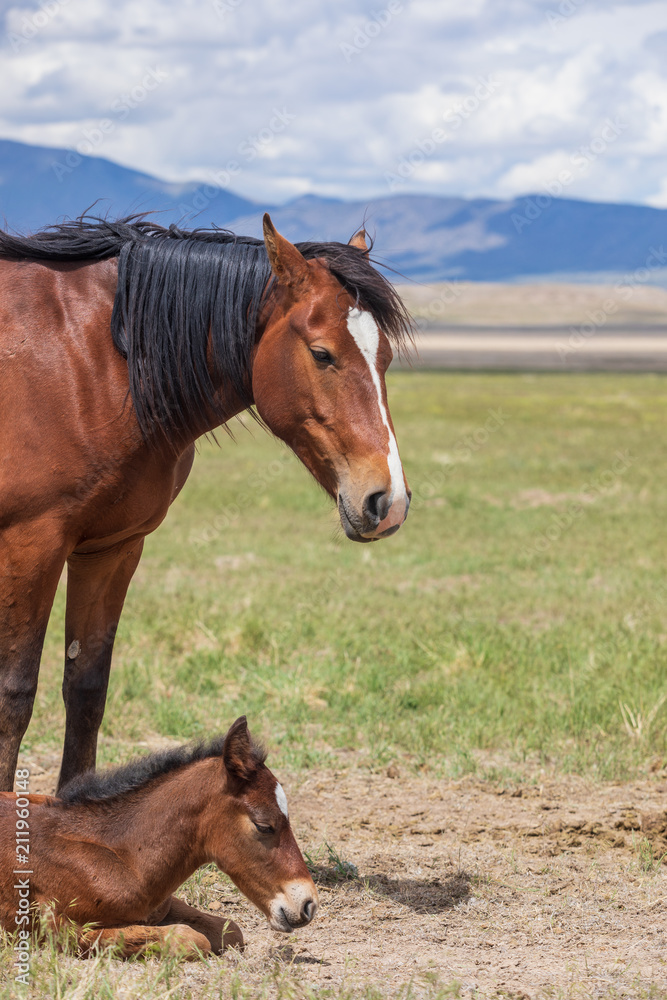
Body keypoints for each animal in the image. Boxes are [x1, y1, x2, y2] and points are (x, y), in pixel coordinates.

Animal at [0, 215, 412, 792]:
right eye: (322, 353)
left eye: (386, 358)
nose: (388, 500)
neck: (90, 363)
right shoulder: (30, 543)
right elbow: (13, 696)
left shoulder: (112, 548)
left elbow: (86, 689)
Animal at [0, 716, 318, 956]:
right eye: (263, 826)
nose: (309, 904)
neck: (125, 861)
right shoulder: (59, 929)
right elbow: (190, 938)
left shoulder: (162, 904)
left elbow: (231, 931)